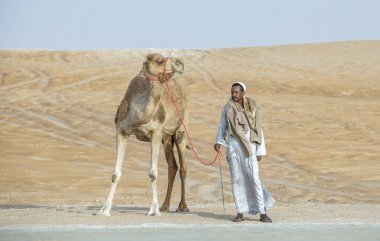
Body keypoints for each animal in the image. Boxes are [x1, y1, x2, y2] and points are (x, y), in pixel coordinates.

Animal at [96, 53, 189, 217]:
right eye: (159, 61)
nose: (180, 63)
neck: (137, 115)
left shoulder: (155, 132)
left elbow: (153, 173)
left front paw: (154, 210)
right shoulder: (121, 131)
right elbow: (115, 173)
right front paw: (105, 209)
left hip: (181, 130)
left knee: (183, 167)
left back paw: (182, 206)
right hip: (166, 139)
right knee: (172, 166)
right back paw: (165, 205)